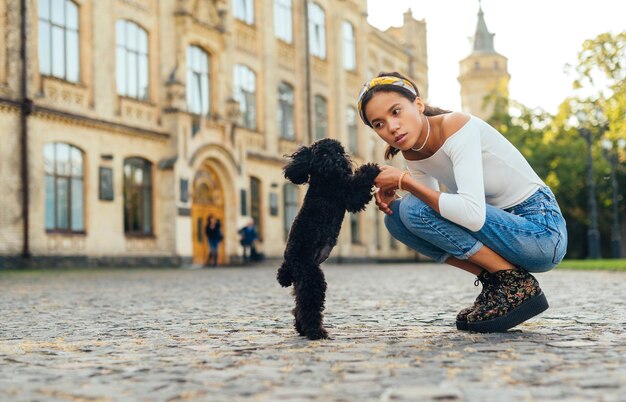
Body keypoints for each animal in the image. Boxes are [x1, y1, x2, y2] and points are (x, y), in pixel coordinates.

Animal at [276, 138, 378, 340]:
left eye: (339, 152)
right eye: (323, 154)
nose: (339, 161)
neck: (325, 180)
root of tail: (289, 264)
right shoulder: (348, 195)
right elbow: (359, 185)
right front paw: (371, 168)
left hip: (301, 281)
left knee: (298, 305)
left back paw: (302, 329)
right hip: (311, 277)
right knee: (309, 305)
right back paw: (315, 331)